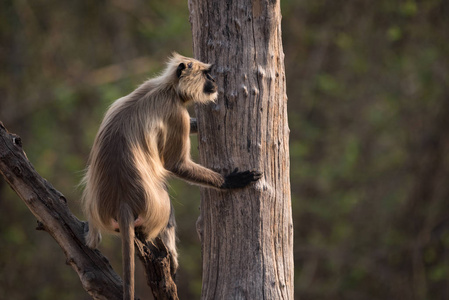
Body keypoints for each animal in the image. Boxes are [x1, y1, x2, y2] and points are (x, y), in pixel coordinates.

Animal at [82, 52, 260, 298]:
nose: (215, 82)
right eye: (207, 74)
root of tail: (122, 202)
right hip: (153, 208)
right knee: (165, 203)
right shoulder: (176, 114)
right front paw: (229, 181)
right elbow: (176, 164)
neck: (168, 89)